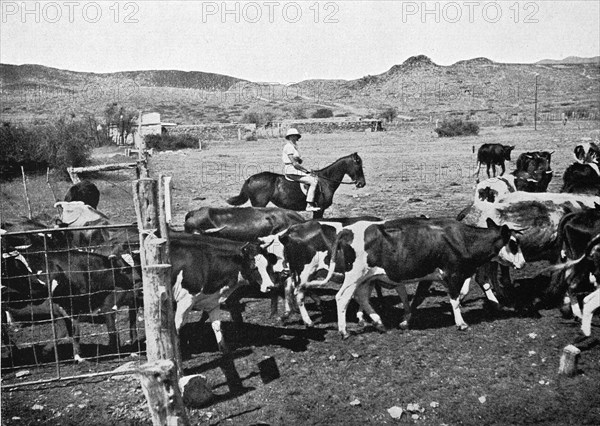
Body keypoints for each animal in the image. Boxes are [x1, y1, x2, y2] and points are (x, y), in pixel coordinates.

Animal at [226, 152, 364, 218]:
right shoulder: (319, 209)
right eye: (358, 164)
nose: (362, 183)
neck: (326, 181)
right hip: (259, 204)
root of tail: (250, 178)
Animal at [302, 218, 524, 338]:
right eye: (513, 243)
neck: (462, 239)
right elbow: (453, 298)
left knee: (362, 298)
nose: (522, 263)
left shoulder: (431, 276)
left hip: (365, 279)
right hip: (353, 277)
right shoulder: (453, 274)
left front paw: (405, 321)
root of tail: (347, 230)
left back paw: (378, 323)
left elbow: (417, 298)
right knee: (342, 298)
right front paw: (461, 323)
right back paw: (344, 331)